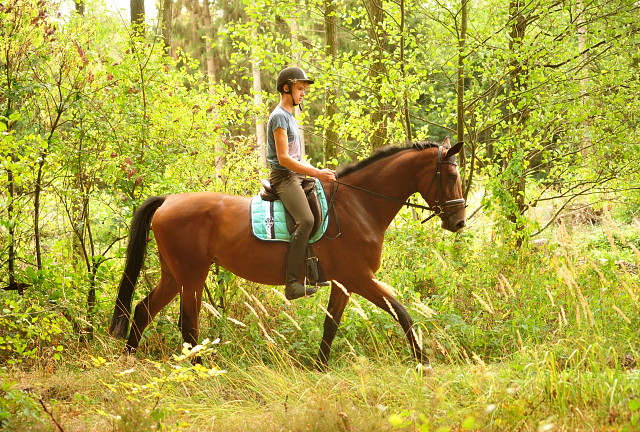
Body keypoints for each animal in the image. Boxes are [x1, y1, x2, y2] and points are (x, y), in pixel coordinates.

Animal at [109, 138, 464, 368]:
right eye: (451, 176)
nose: (458, 221)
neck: (359, 205)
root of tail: (168, 200)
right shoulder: (360, 278)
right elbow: (402, 313)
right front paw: (423, 362)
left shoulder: (344, 283)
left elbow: (331, 325)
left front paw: (319, 368)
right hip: (192, 275)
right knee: (188, 325)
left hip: (174, 274)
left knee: (142, 310)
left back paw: (129, 362)